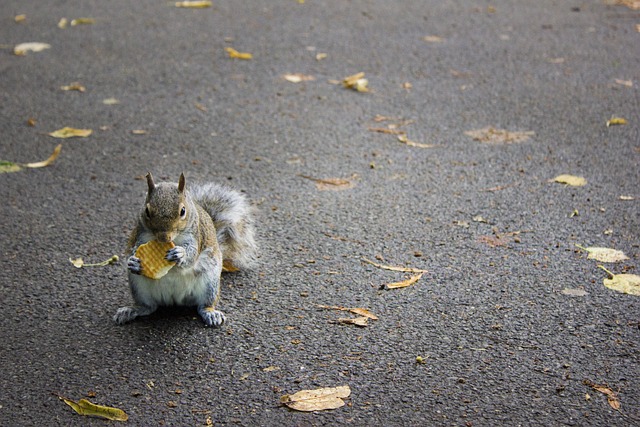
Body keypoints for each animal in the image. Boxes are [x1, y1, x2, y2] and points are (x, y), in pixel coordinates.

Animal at [114, 174, 256, 328]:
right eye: (147, 211)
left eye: (182, 211)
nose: (164, 238)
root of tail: (174, 300)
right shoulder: (140, 236)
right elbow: (135, 249)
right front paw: (133, 261)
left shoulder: (196, 236)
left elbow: (192, 254)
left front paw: (180, 254)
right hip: (139, 287)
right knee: (148, 307)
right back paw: (131, 310)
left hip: (210, 284)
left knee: (204, 305)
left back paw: (211, 313)